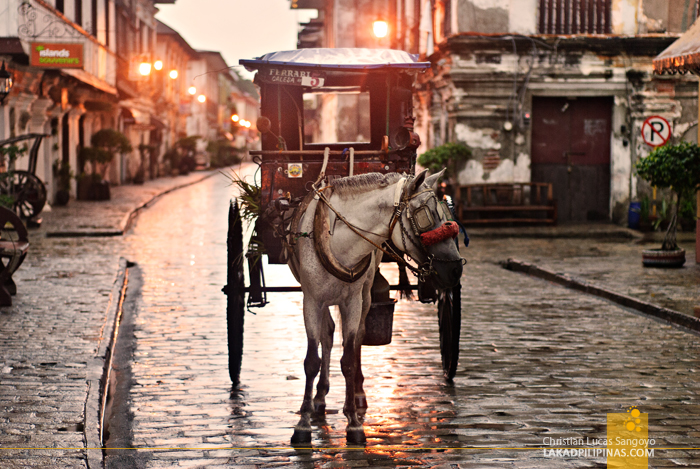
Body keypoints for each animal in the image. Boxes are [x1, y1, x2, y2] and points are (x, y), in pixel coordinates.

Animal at [284, 167, 464, 442]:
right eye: (424, 215)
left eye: (447, 215)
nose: (455, 270)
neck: (337, 241)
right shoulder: (311, 300)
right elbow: (311, 361)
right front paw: (303, 424)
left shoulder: (352, 301)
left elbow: (349, 358)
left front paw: (353, 423)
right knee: (328, 334)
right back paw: (320, 398)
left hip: (365, 294)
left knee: (357, 336)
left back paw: (356, 397)